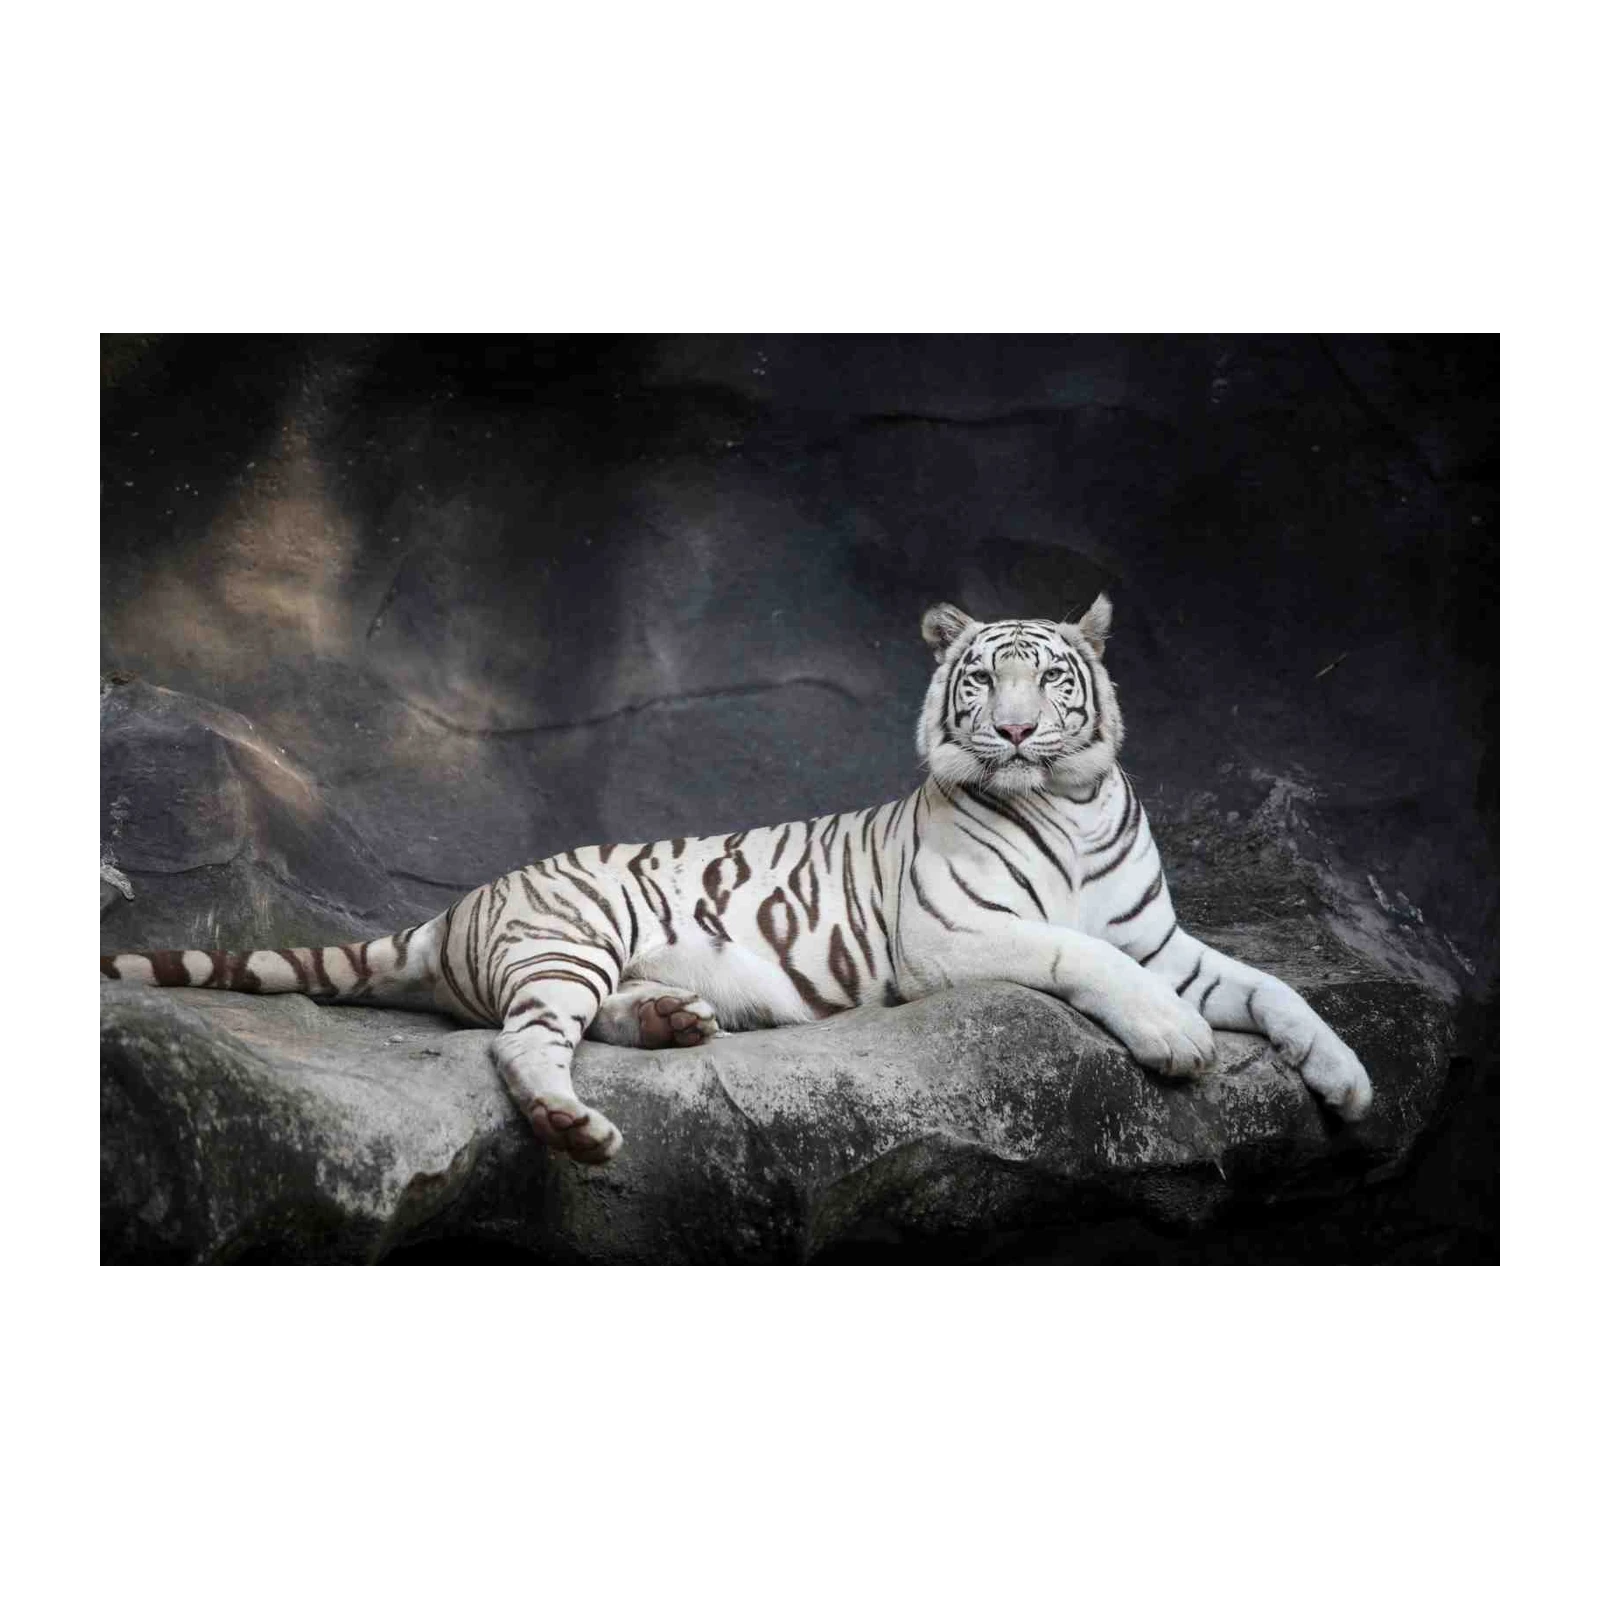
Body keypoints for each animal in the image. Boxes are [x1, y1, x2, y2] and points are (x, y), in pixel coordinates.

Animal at [97, 595, 1373, 1163]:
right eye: (980, 682)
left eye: (1050, 682)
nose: (1013, 732)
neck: (1066, 798)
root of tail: (456, 906)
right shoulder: (956, 936)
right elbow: (1084, 954)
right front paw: (1177, 1042)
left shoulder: (1160, 936)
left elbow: (1271, 987)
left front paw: (1349, 1081)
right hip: (568, 935)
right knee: (520, 1043)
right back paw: (575, 1122)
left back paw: (673, 1020)